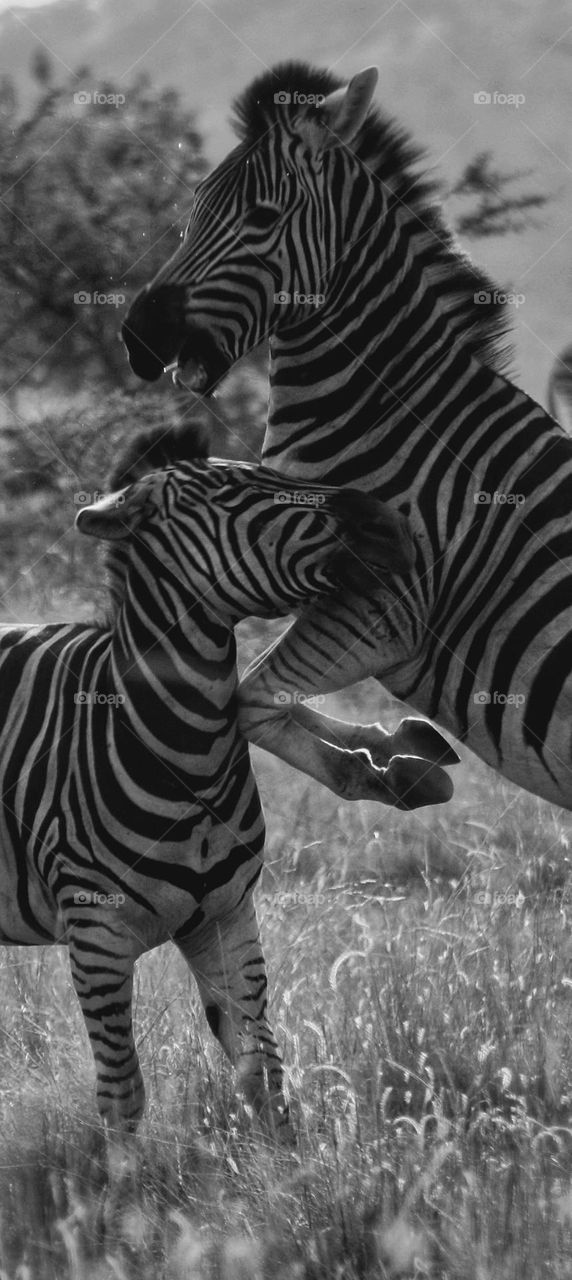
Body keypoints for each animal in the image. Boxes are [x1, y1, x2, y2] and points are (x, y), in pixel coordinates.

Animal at [0, 424, 429, 1146]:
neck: (186, 753)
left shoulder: (227, 918)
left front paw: (292, 1172)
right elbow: (123, 1097)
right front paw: (123, 1182)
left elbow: (265, 1076)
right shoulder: (95, 936)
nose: (393, 523)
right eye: (232, 492)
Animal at [122, 60, 572, 808]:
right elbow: (253, 694)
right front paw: (402, 746)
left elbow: (249, 700)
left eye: (262, 217)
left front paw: (393, 770)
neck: (395, 417)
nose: (138, 336)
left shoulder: (382, 610)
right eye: (193, 212)